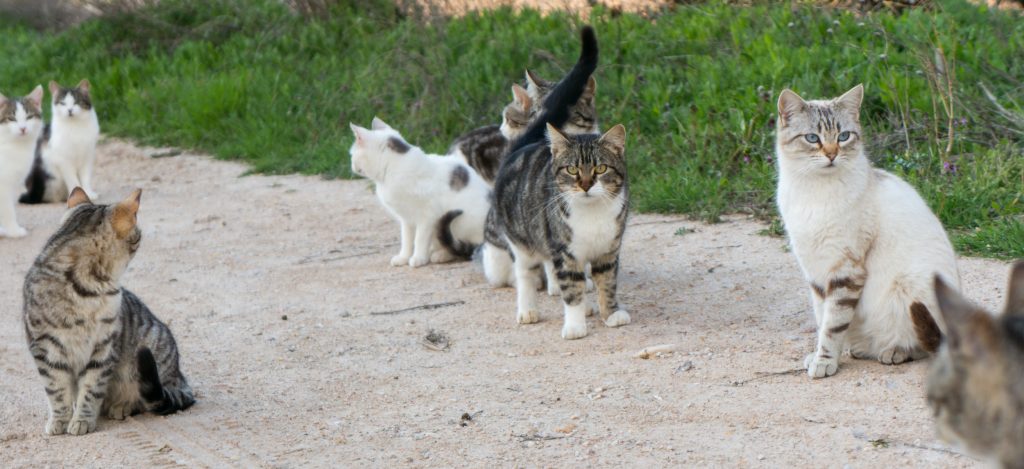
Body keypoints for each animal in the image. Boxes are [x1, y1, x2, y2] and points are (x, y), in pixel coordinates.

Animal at [0, 84, 44, 238]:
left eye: (29, 117)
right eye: (12, 118)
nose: (23, 128)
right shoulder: (3, 185)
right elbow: (7, 209)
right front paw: (13, 230)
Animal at [23, 187, 195, 436]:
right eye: (137, 235)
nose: (141, 237)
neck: (86, 291)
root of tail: (180, 378)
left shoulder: (103, 347)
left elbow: (91, 389)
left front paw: (82, 420)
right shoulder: (46, 349)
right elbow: (57, 391)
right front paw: (60, 419)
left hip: (147, 356)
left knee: (147, 398)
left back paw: (122, 406)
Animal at [348, 117, 491, 268]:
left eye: (352, 155)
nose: (351, 165)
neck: (394, 167)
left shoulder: (427, 215)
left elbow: (419, 239)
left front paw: (418, 258)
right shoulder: (406, 218)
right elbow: (406, 239)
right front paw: (403, 257)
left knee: (462, 247)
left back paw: (441, 255)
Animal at [774, 83, 958, 376]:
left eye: (844, 136)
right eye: (813, 138)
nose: (831, 154)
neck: (815, 192)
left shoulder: (845, 269)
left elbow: (833, 325)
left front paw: (824, 362)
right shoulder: (815, 271)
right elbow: (823, 318)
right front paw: (821, 357)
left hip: (908, 292)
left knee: (925, 344)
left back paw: (894, 351)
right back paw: (862, 349)